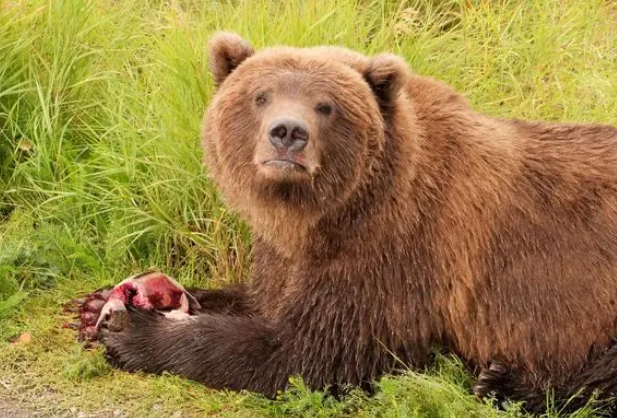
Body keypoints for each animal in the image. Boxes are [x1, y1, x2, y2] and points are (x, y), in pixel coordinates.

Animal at [73, 31, 617, 412]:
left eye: (326, 105)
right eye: (261, 95)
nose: (287, 133)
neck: (329, 213)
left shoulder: (396, 254)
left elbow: (304, 353)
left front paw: (131, 330)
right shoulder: (288, 254)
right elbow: (261, 299)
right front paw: (98, 303)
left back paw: (501, 381)